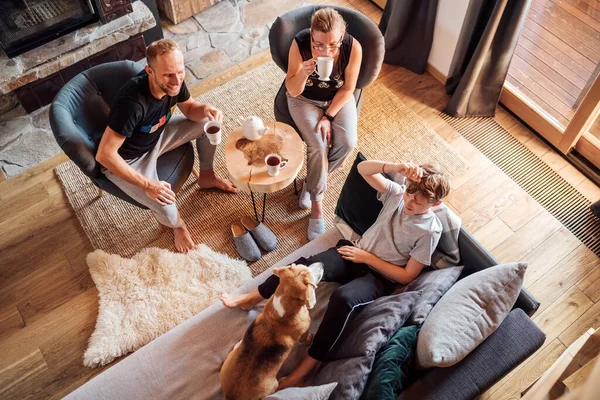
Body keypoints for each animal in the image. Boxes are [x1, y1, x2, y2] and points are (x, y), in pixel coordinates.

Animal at [219, 262, 324, 400]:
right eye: (311, 280)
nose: (322, 264)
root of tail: (231, 396)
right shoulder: (303, 332)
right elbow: (306, 337)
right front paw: (310, 339)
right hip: (274, 384)